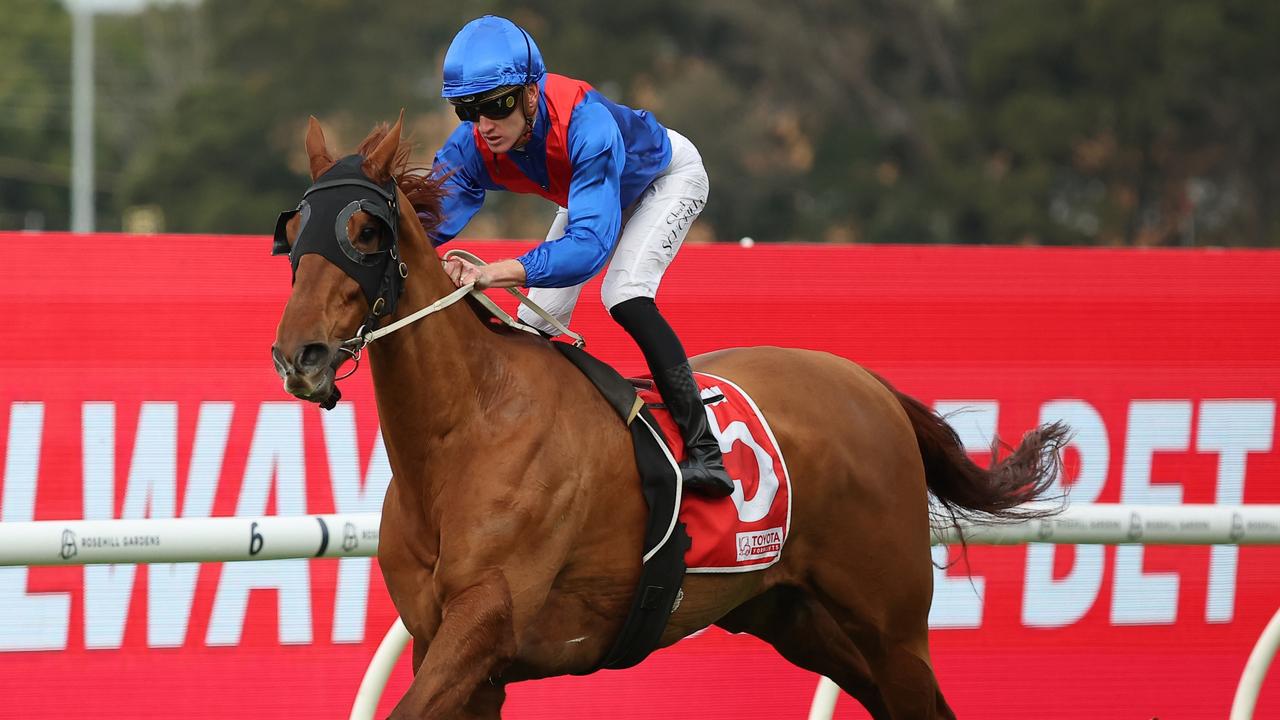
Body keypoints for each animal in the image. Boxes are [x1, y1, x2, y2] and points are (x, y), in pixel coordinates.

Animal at [270, 114, 1070, 712]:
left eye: (365, 231)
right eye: (296, 227)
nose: (297, 355)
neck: (463, 432)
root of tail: (869, 384)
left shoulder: (485, 624)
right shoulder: (453, 652)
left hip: (891, 624)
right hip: (797, 616)